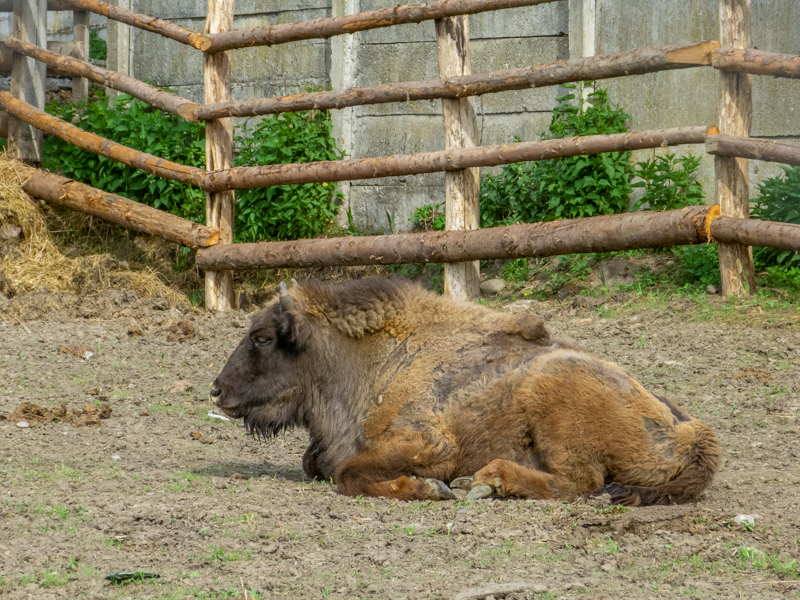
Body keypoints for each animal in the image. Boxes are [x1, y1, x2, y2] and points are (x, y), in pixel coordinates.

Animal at [211, 278, 719, 505]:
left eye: (262, 338)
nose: (217, 390)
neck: (376, 360)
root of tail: (692, 432)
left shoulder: (430, 443)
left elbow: (348, 474)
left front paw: (430, 488)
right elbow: (316, 464)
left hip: (552, 401)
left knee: (580, 482)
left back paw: (483, 481)